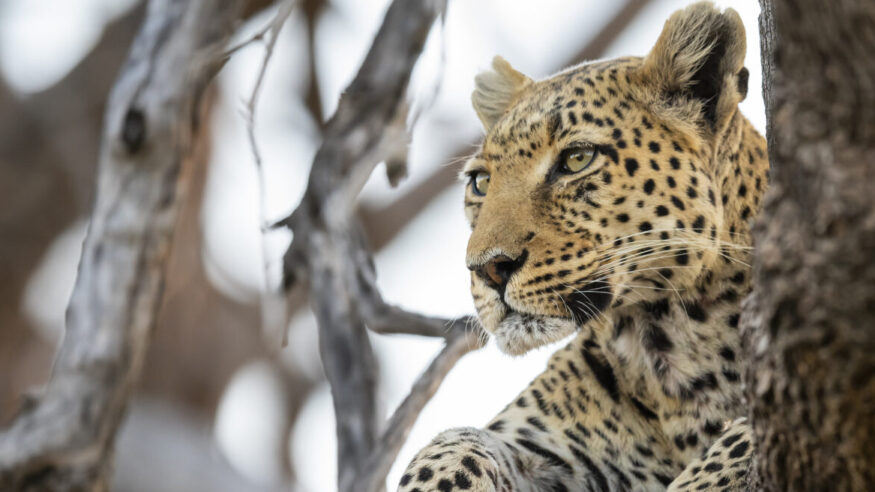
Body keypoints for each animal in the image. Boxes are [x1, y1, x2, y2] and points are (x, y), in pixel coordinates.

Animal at [397, 2, 769, 491]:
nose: (487, 269)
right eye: (480, 181)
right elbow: (453, 442)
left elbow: (740, 437)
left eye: (576, 159)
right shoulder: (542, 448)